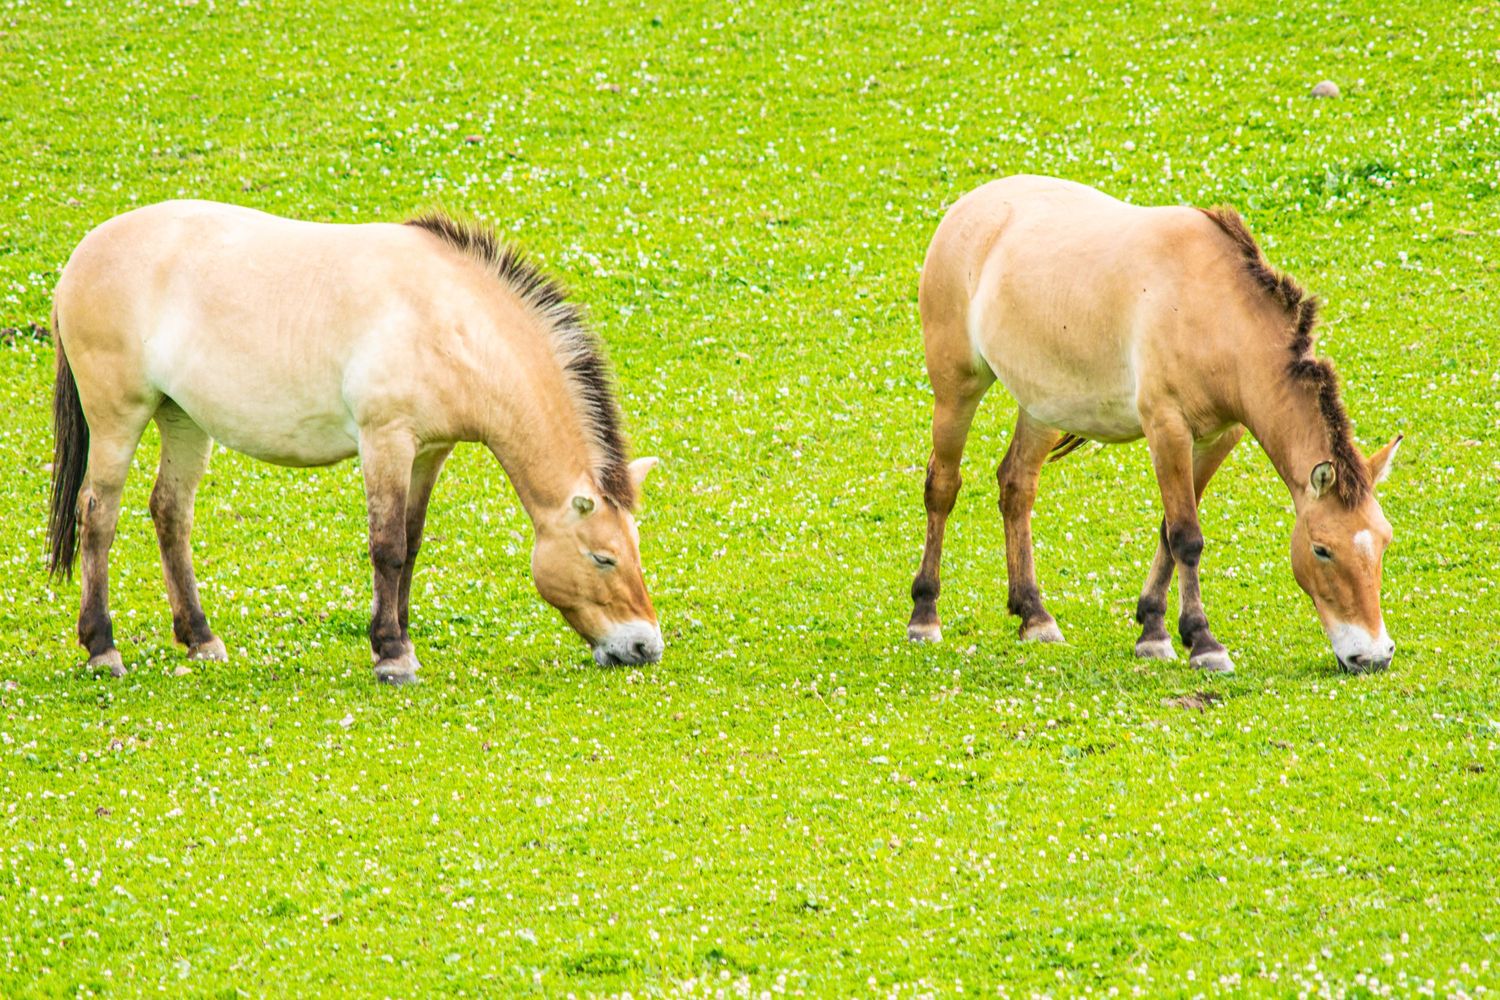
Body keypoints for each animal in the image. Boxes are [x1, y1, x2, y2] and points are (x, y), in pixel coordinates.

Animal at [47, 202, 664, 684]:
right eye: (603, 557)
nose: (644, 646)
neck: (447, 319)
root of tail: (81, 256)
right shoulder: (385, 440)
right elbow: (386, 545)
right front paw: (392, 657)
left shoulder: (429, 452)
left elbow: (410, 544)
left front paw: (400, 639)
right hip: (118, 420)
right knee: (97, 516)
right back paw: (102, 648)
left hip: (182, 420)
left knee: (170, 513)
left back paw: (200, 638)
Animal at [906, 175, 1401, 674]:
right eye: (1321, 548)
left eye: (1384, 542)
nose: (1372, 656)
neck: (1215, 311)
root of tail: (971, 205)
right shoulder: (1167, 429)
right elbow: (1186, 536)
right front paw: (1203, 642)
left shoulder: (1219, 437)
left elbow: (1168, 528)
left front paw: (1153, 630)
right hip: (957, 389)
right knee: (942, 486)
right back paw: (925, 616)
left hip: (1041, 406)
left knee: (1017, 486)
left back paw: (1035, 616)